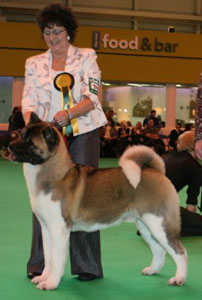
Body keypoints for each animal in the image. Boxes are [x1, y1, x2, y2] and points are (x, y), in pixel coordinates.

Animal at [8, 113, 188, 290]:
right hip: (146, 225)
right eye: (21, 135)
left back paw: (178, 279)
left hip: (160, 224)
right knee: (159, 250)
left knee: (179, 252)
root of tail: (156, 171)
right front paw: (43, 278)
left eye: (30, 141)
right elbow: (49, 258)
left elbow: (57, 259)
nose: (9, 146)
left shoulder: (59, 229)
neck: (54, 172)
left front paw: (51, 283)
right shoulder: (47, 228)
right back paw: (152, 270)